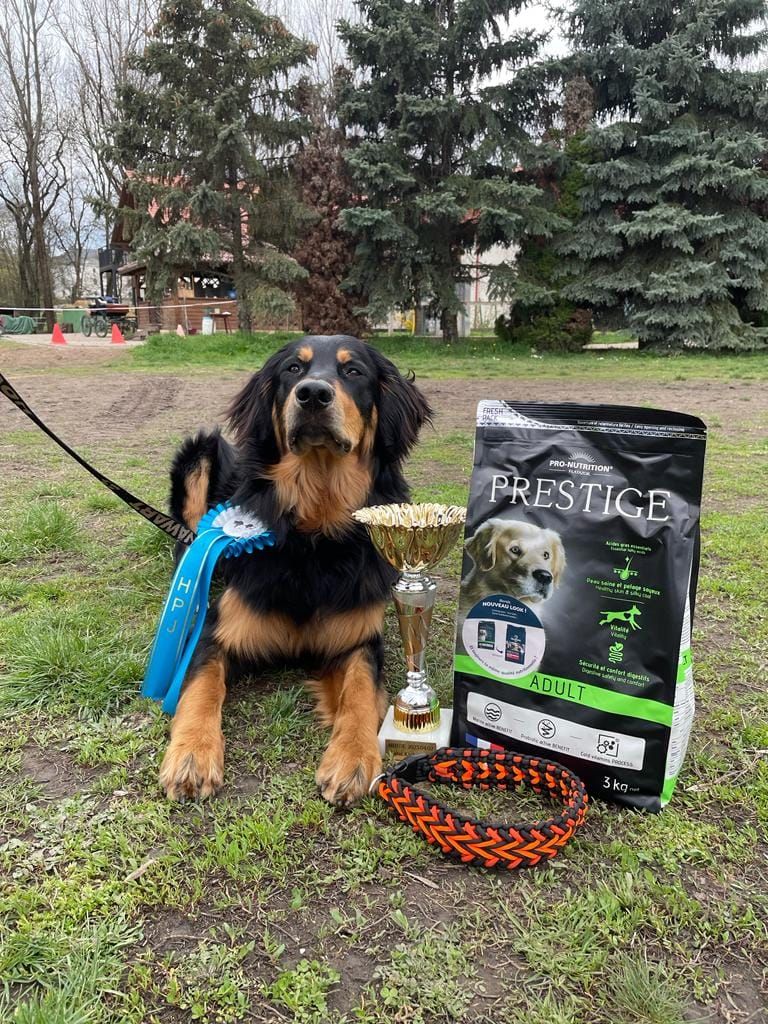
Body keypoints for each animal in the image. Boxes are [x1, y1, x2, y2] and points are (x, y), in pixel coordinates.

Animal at [161, 335, 431, 807]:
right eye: (292, 370)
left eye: (353, 371)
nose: (313, 394)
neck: (314, 531)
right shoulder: (216, 631)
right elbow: (201, 687)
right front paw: (192, 753)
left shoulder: (359, 638)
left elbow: (362, 691)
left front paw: (352, 758)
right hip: (202, 451)